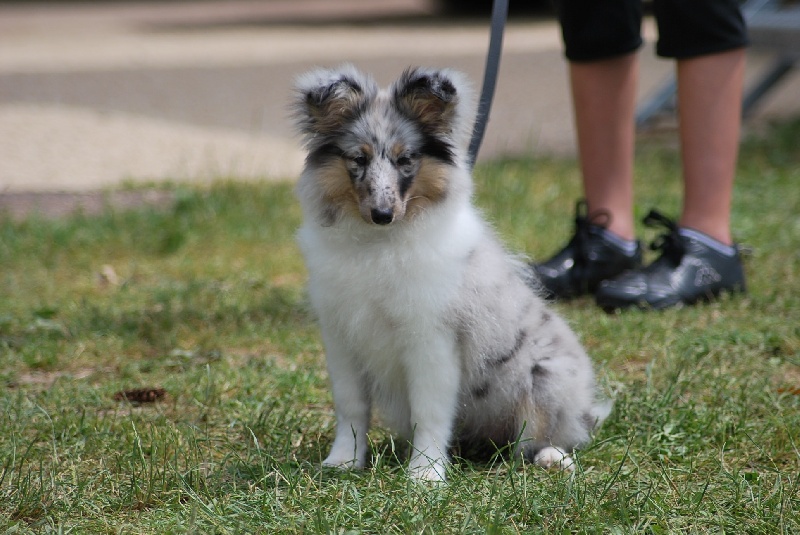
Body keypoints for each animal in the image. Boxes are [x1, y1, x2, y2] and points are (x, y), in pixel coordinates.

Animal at [294, 65, 612, 484]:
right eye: (357, 159)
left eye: (406, 160)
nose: (382, 214)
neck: (378, 244)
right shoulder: (341, 337)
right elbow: (351, 407)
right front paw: (343, 462)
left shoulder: (431, 339)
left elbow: (428, 411)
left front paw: (425, 476)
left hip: (545, 379)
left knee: (542, 435)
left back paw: (551, 458)